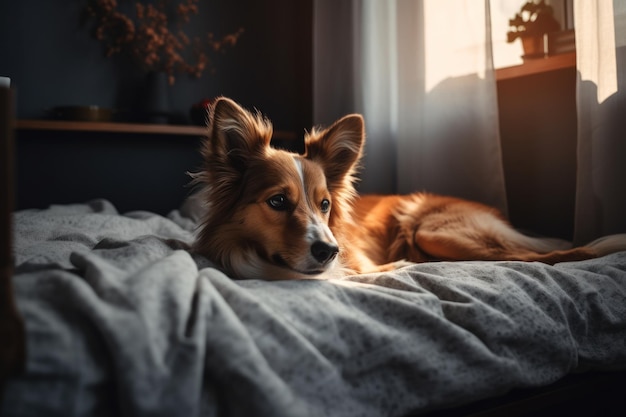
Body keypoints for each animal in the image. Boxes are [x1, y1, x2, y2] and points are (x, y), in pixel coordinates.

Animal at [191, 96, 624, 280]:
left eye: (325, 204)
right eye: (278, 201)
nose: (330, 251)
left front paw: (399, 266)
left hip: (434, 230)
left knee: (548, 256)